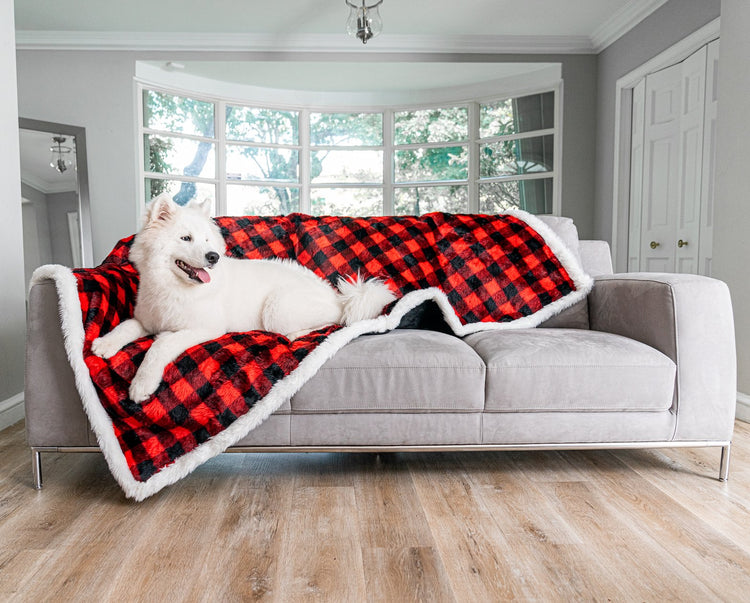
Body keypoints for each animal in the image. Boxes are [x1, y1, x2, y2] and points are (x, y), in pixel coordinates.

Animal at [93, 198, 396, 404]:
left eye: (207, 240)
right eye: (186, 238)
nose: (213, 256)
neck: (172, 287)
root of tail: (336, 295)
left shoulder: (204, 327)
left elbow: (160, 345)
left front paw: (141, 384)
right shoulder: (147, 319)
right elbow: (126, 326)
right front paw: (104, 344)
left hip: (277, 307)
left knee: (331, 322)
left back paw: (298, 334)